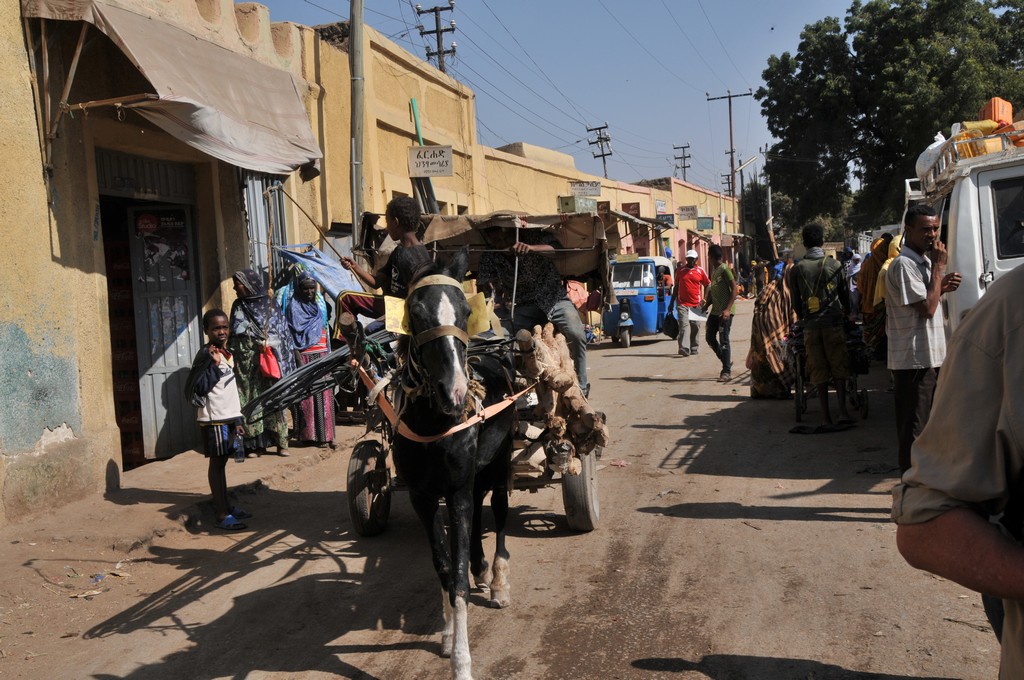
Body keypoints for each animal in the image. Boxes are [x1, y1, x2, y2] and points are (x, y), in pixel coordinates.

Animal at [394, 248, 515, 680]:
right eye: (415, 311)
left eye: (464, 310)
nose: (456, 392)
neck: (435, 424)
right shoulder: (423, 496)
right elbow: (445, 568)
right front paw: (447, 635)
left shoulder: (456, 489)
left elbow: (458, 577)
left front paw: (462, 661)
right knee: (478, 508)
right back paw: (481, 568)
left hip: (500, 462)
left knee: (498, 511)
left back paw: (497, 583)